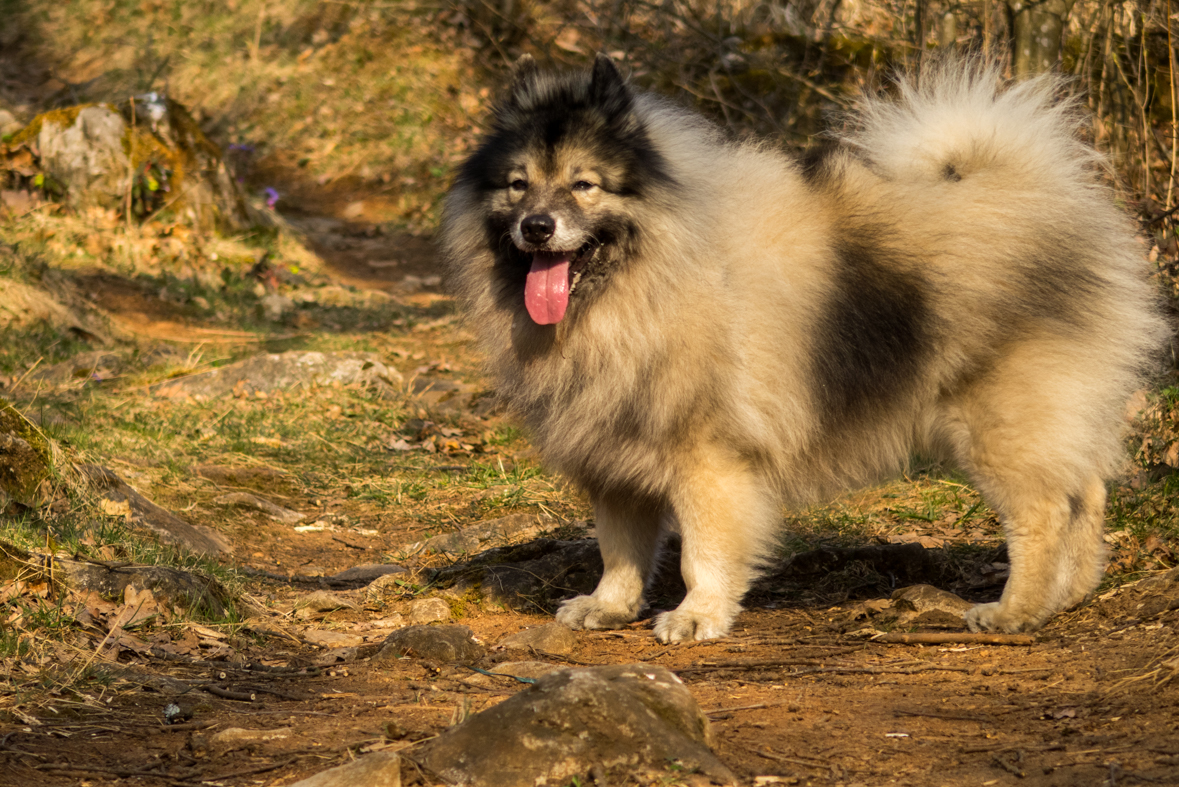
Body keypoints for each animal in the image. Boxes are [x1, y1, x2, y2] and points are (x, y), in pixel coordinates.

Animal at [443, 56, 1169, 645]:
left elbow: (700, 551)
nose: (537, 227)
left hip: (1000, 422)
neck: (645, 278)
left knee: (1043, 513)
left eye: (583, 184)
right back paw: (1069, 596)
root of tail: (1045, 192)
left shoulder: (706, 456)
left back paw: (1016, 610)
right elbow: (620, 546)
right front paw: (609, 605)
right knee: (1085, 494)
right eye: (517, 185)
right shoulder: (613, 453)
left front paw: (697, 615)